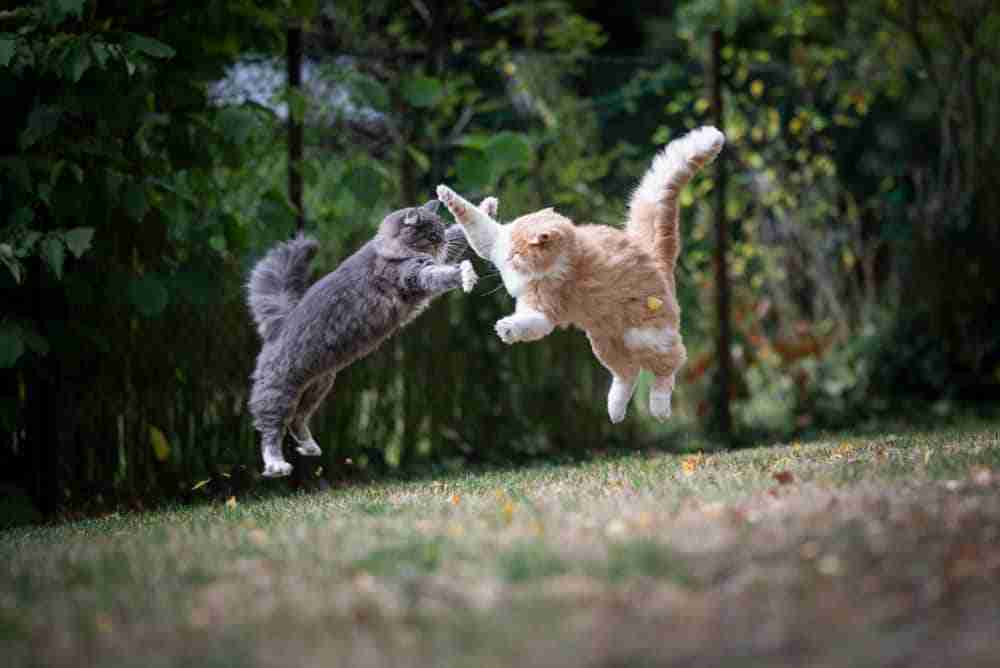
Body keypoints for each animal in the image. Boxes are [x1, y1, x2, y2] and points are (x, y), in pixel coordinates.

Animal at [243, 196, 492, 478]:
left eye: (440, 232)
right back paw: (277, 465)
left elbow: (458, 235)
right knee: (270, 429)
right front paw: (465, 274)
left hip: (318, 386)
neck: (389, 248)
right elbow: (442, 273)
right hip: (281, 390)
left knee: (298, 420)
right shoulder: (414, 273)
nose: (441, 243)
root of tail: (278, 325)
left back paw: (310, 447)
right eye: (431, 236)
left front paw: (485, 208)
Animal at [442, 125, 724, 422]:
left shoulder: (543, 310)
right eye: (508, 254)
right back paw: (615, 411)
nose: (507, 270)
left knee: (668, 367)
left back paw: (659, 408)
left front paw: (507, 328)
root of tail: (652, 255)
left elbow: (526, 322)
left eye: (517, 255)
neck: (565, 259)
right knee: (628, 374)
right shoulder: (494, 241)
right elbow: (474, 220)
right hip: (605, 343)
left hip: (647, 337)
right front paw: (447, 194)